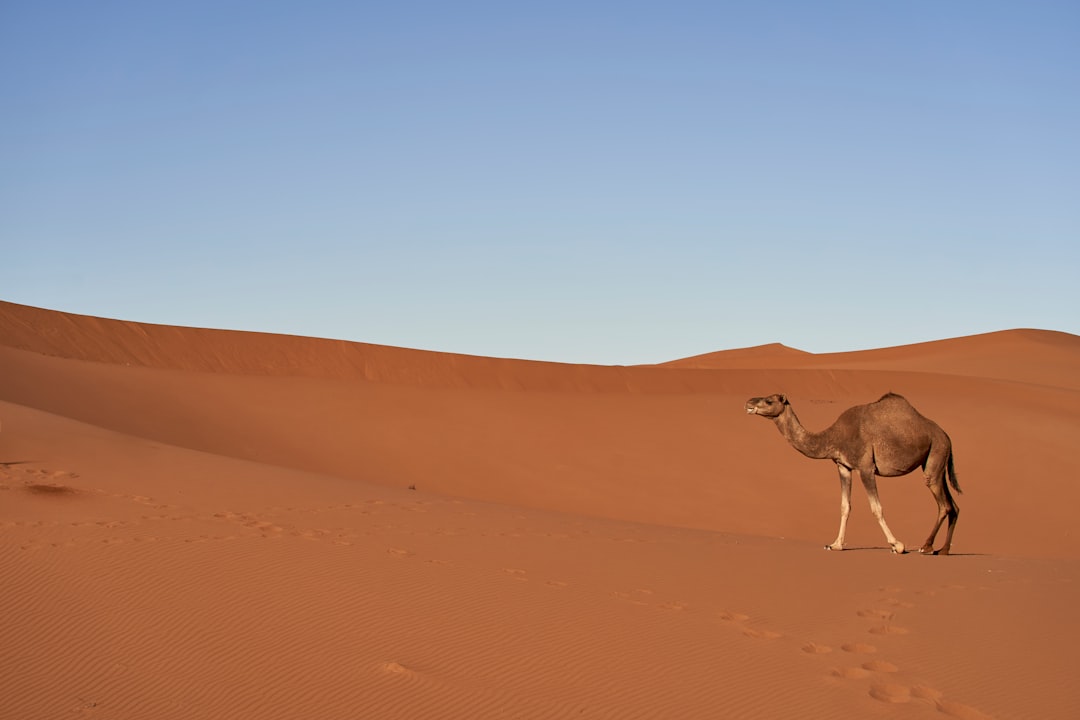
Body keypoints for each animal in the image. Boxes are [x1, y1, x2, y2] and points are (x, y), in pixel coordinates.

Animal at [743, 395, 963, 557]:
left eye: (769, 401)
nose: (749, 403)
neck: (833, 437)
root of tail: (947, 436)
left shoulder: (866, 467)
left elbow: (876, 508)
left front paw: (897, 545)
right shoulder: (843, 467)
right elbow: (845, 506)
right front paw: (835, 545)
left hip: (936, 453)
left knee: (943, 504)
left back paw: (926, 547)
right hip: (937, 463)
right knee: (953, 505)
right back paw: (943, 550)